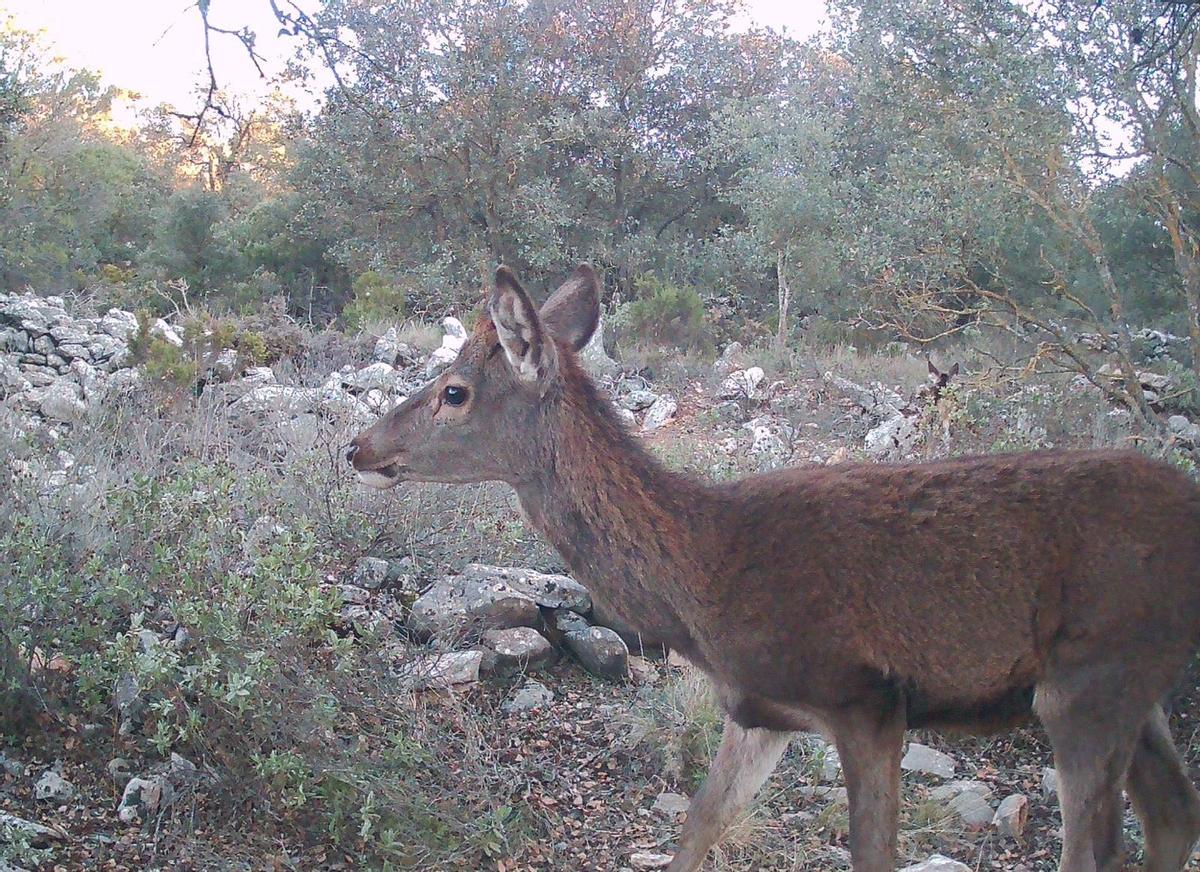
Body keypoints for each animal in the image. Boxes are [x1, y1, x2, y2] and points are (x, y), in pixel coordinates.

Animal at [347, 264, 1200, 872]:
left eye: (454, 392)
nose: (358, 447)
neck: (706, 578)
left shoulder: (864, 696)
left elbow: (873, 855)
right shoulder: (757, 709)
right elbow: (698, 825)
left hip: (1091, 676)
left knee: (1098, 849)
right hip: (1131, 680)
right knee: (1173, 812)